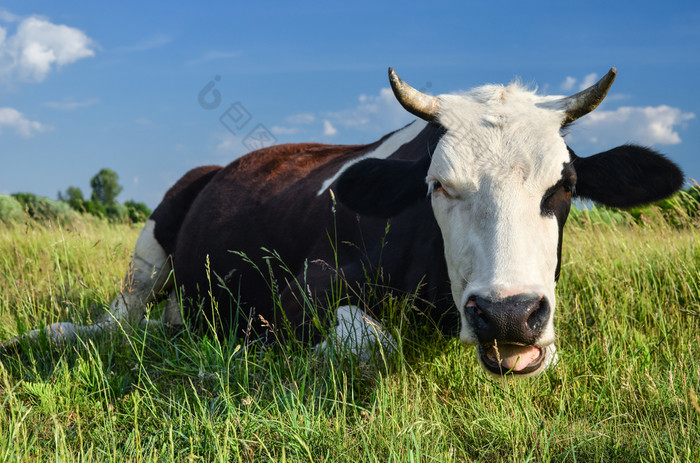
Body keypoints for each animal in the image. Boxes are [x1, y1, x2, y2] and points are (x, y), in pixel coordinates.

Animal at [2, 68, 684, 376]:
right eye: (438, 184)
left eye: (564, 187)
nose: (508, 314)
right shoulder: (303, 285)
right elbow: (370, 341)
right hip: (152, 245)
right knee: (116, 322)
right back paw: (50, 334)